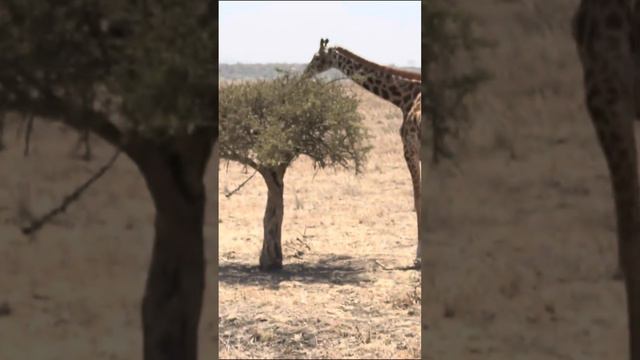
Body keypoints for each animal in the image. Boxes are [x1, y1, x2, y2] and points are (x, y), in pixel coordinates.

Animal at [302, 38, 422, 264]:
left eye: (316, 57)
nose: (305, 74)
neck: (403, 98)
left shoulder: (410, 150)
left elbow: (418, 200)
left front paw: (419, 256)